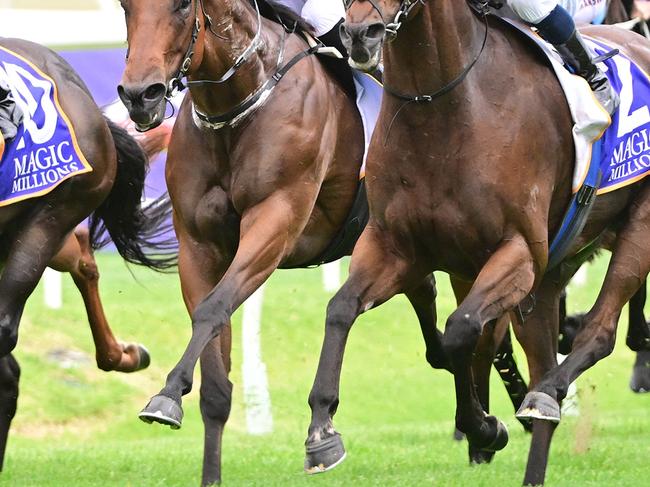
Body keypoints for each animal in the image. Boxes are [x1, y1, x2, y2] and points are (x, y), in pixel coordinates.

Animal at [304, 1, 650, 486]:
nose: (359, 35)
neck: (443, 110)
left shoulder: (518, 253)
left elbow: (461, 332)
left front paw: (484, 427)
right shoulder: (396, 248)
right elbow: (341, 310)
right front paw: (322, 430)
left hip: (637, 228)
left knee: (599, 332)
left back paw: (546, 393)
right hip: (549, 278)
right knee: (543, 355)